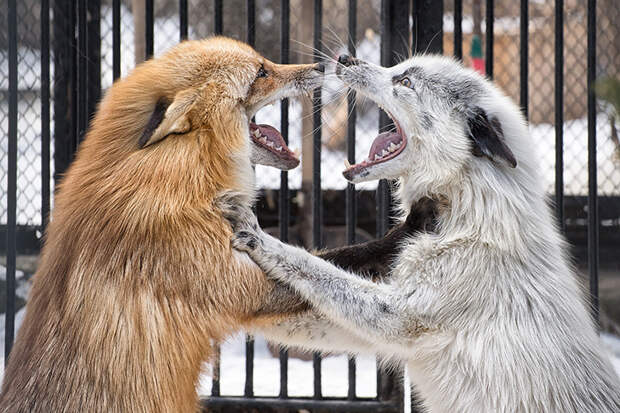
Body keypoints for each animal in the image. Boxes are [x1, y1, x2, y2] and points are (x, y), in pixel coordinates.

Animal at [225, 55, 620, 412]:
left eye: (405, 81)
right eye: (398, 69)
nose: (345, 58)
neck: (466, 217)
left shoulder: (402, 316)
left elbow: (315, 268)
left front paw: (260, 238)